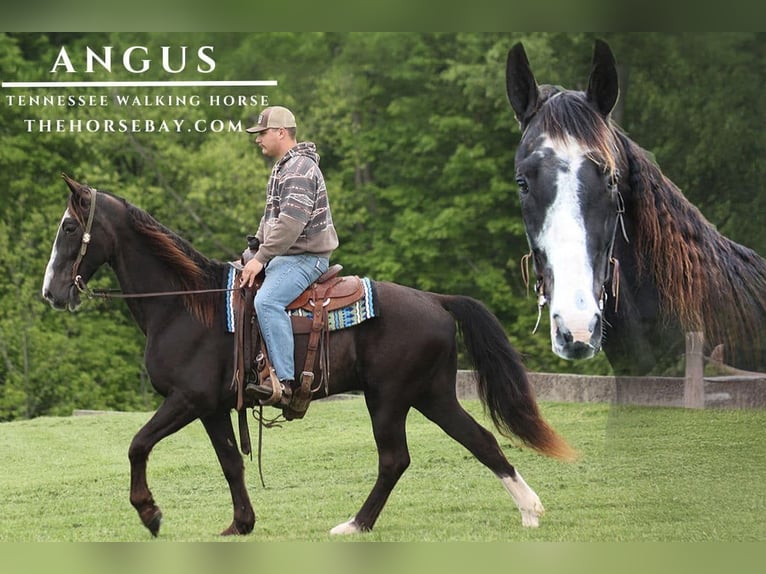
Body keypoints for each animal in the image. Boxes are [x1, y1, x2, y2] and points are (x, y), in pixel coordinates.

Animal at [41, 174, 574, 538]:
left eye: (68, 227)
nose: (51, 292)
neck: (187, 304)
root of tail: (436, 300)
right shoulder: (212, 407)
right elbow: (231, 463)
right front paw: (241, 524)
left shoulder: (185, 400)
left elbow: (137, 444)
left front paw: (150, 514)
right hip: (433, 395)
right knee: (480, 440)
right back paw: (530, 510)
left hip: (389, 398)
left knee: (395, 459)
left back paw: (355, 525)